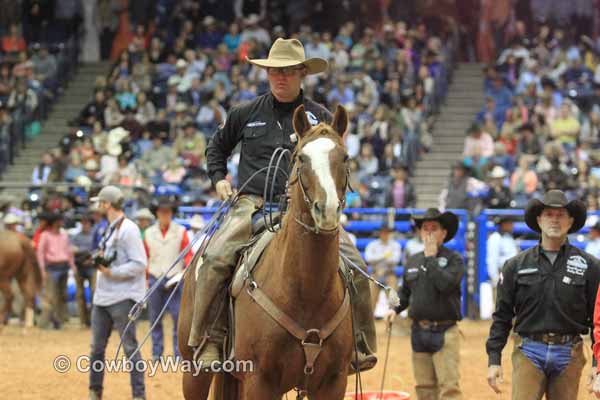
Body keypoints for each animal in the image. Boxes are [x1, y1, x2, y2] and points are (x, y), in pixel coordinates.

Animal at [178, 104, 356, 398]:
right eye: (301, 158)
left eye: (344, 157)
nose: (327, 210)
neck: (305, 291)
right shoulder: (260, 379)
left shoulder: (334, 380)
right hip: (192, 369)